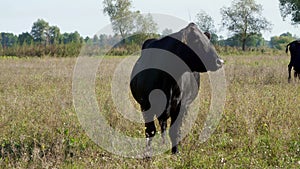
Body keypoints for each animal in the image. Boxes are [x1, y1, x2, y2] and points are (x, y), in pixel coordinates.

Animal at [130, 22, 224, 156]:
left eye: (207, 40)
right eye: (196, 41)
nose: (220, 61)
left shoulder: (182, 105)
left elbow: (175, 131)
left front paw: (175, 152)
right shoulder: (145, 105)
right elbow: (150, 131)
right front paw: (147, 154)